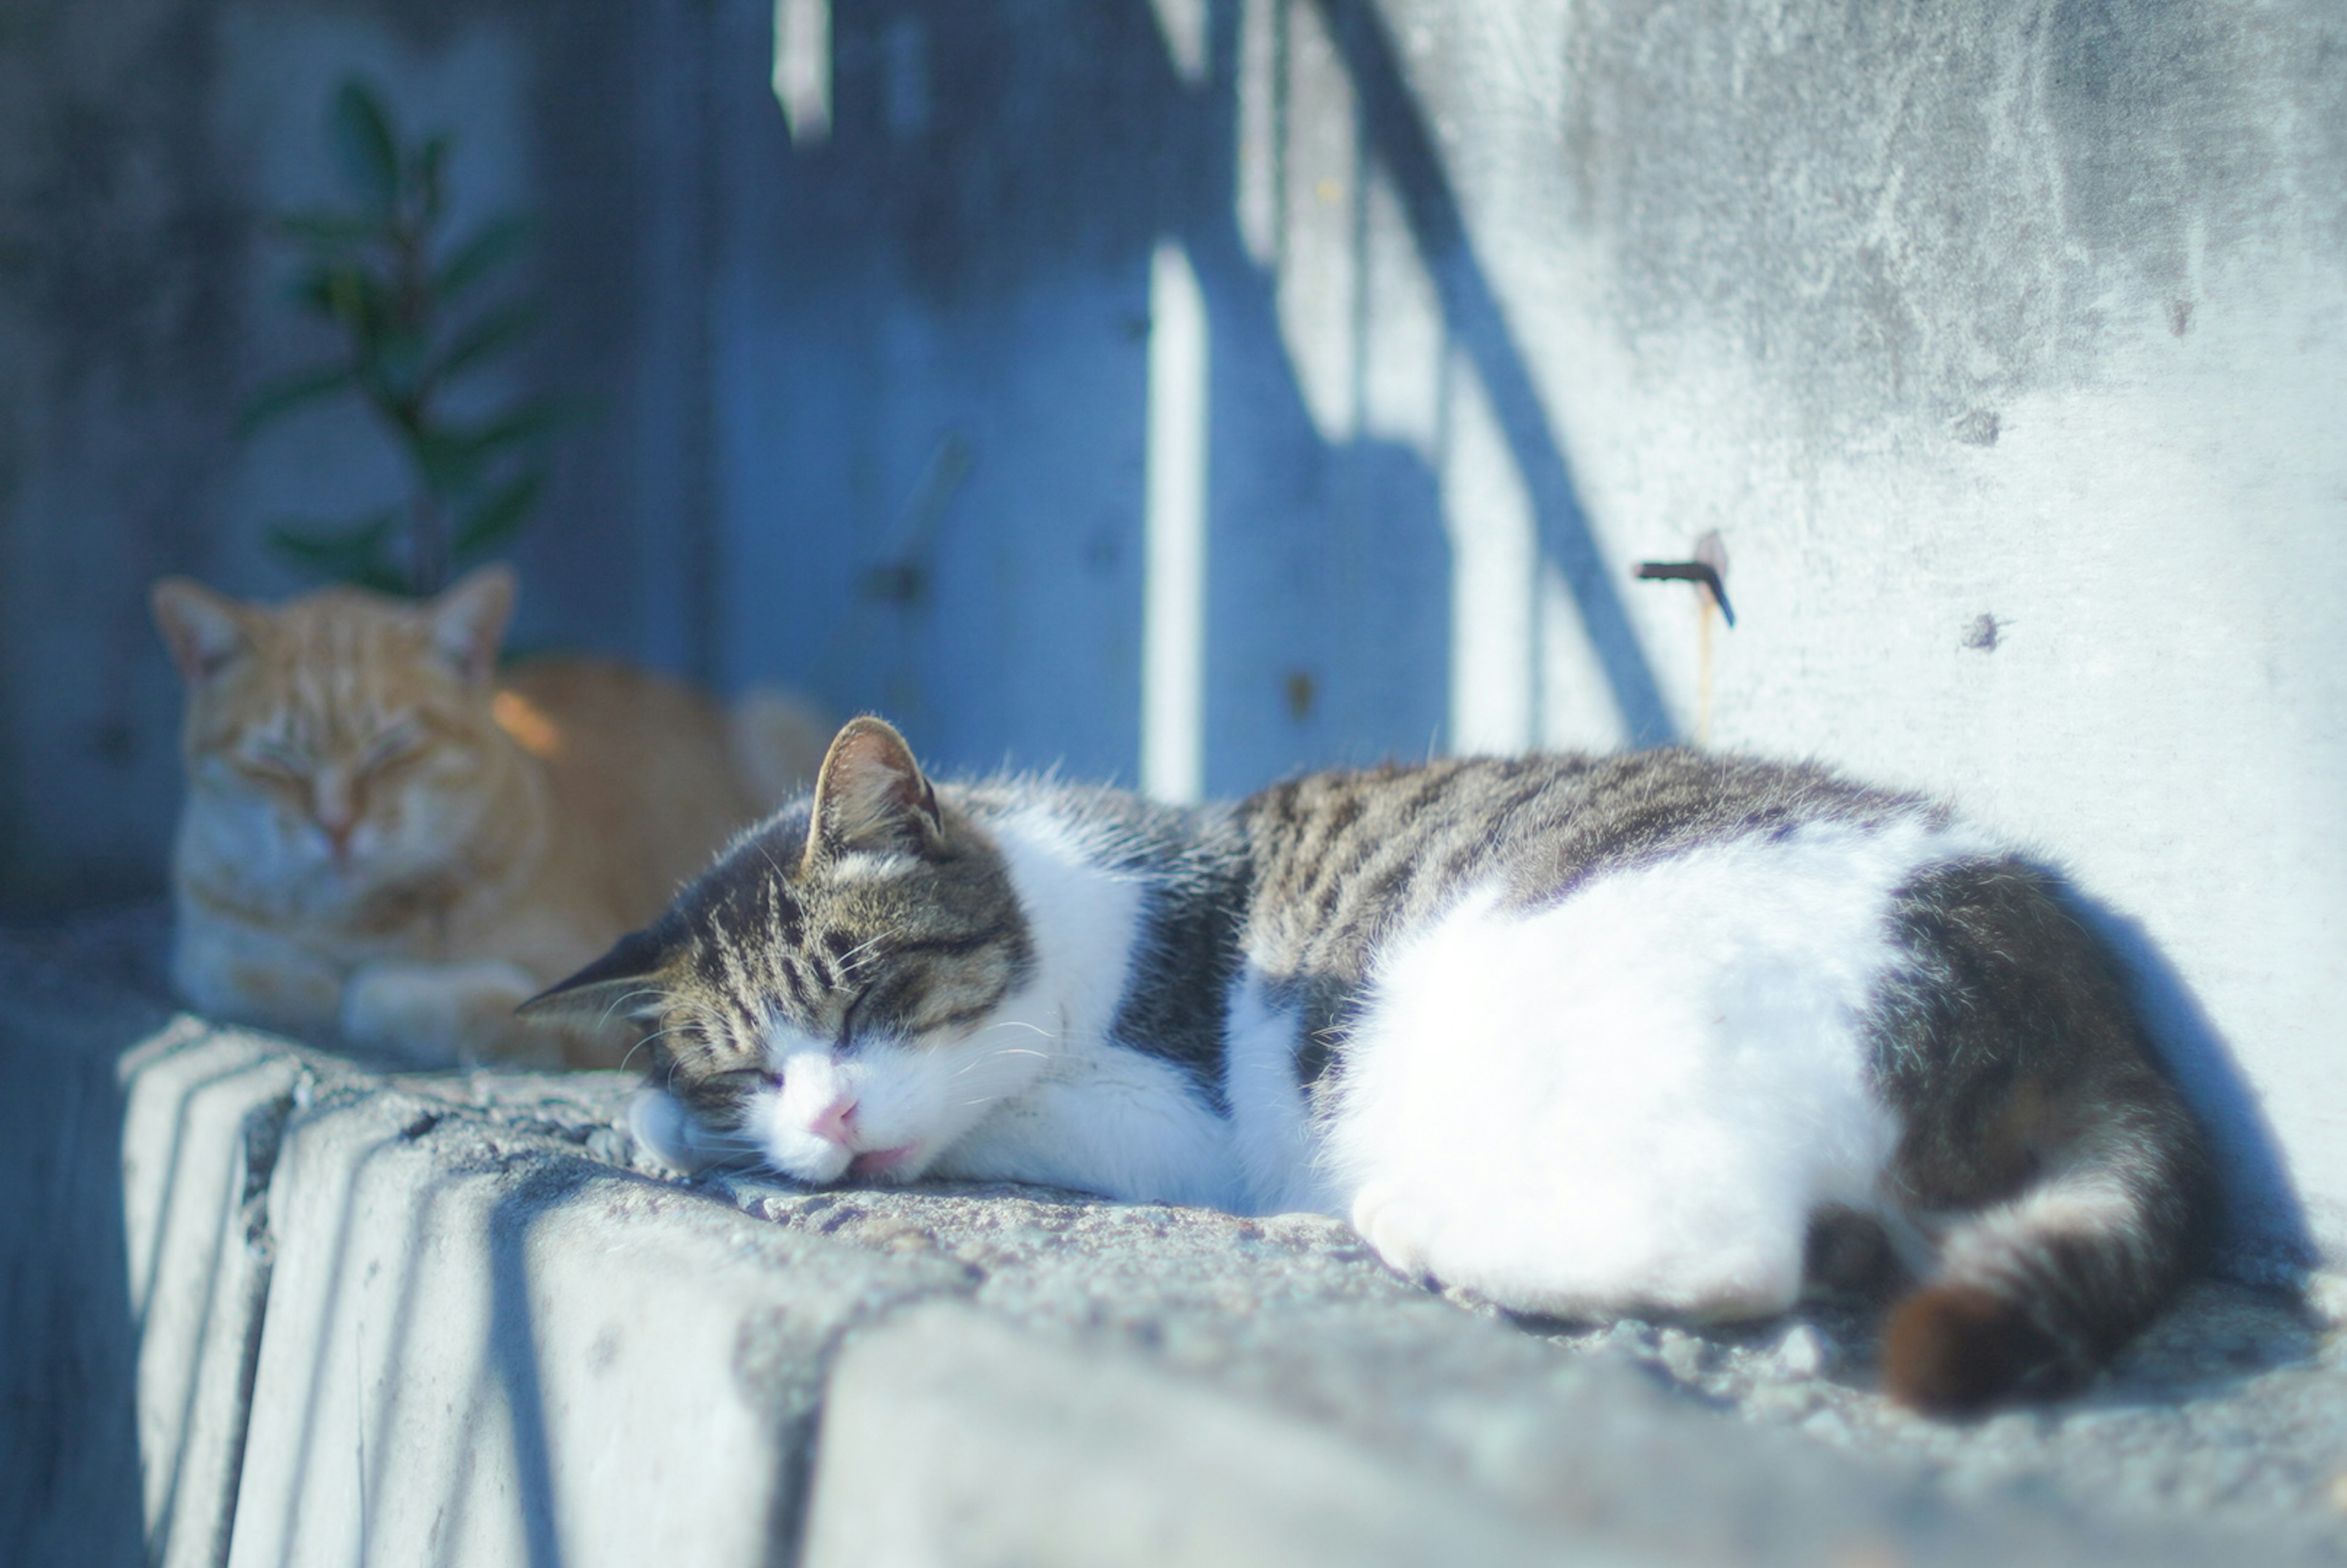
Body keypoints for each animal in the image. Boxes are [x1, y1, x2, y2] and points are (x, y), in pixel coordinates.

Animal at [147, 563, 826, 1065]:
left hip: (778, 714)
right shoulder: (202, 938)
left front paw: (375, 991)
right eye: (276, 757)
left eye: (394, 747)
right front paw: (307, 980)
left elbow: (447, 1003)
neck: (352, 928)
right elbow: (225, 965)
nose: (336, 827)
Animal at [528, 718, 2215, 1418]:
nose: (822, 1112)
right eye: (755, 1065)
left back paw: (1407, 1220)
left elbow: (998, 1112)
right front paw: (676, 1117)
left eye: (874, 991)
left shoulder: (1169, 1108)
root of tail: (2076, 991)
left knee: (1735, 1240)